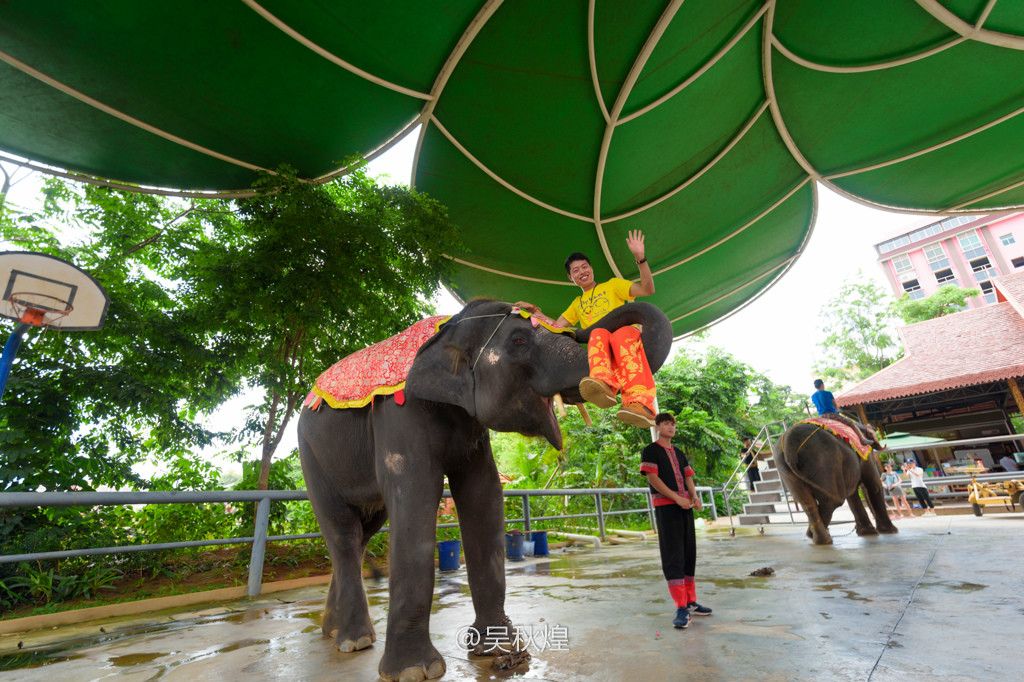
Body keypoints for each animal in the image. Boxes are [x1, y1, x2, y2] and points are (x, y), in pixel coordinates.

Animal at [296, 296, 671, 679]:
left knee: (363, 534)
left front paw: (498, 648)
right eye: (519, 340)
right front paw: (415, 671)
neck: (452, 324)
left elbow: (484, 496)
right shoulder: (398, 415)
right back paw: (354, 641)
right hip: (310, 455)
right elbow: (415, 498)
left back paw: (334, 632)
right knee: (343, 533)